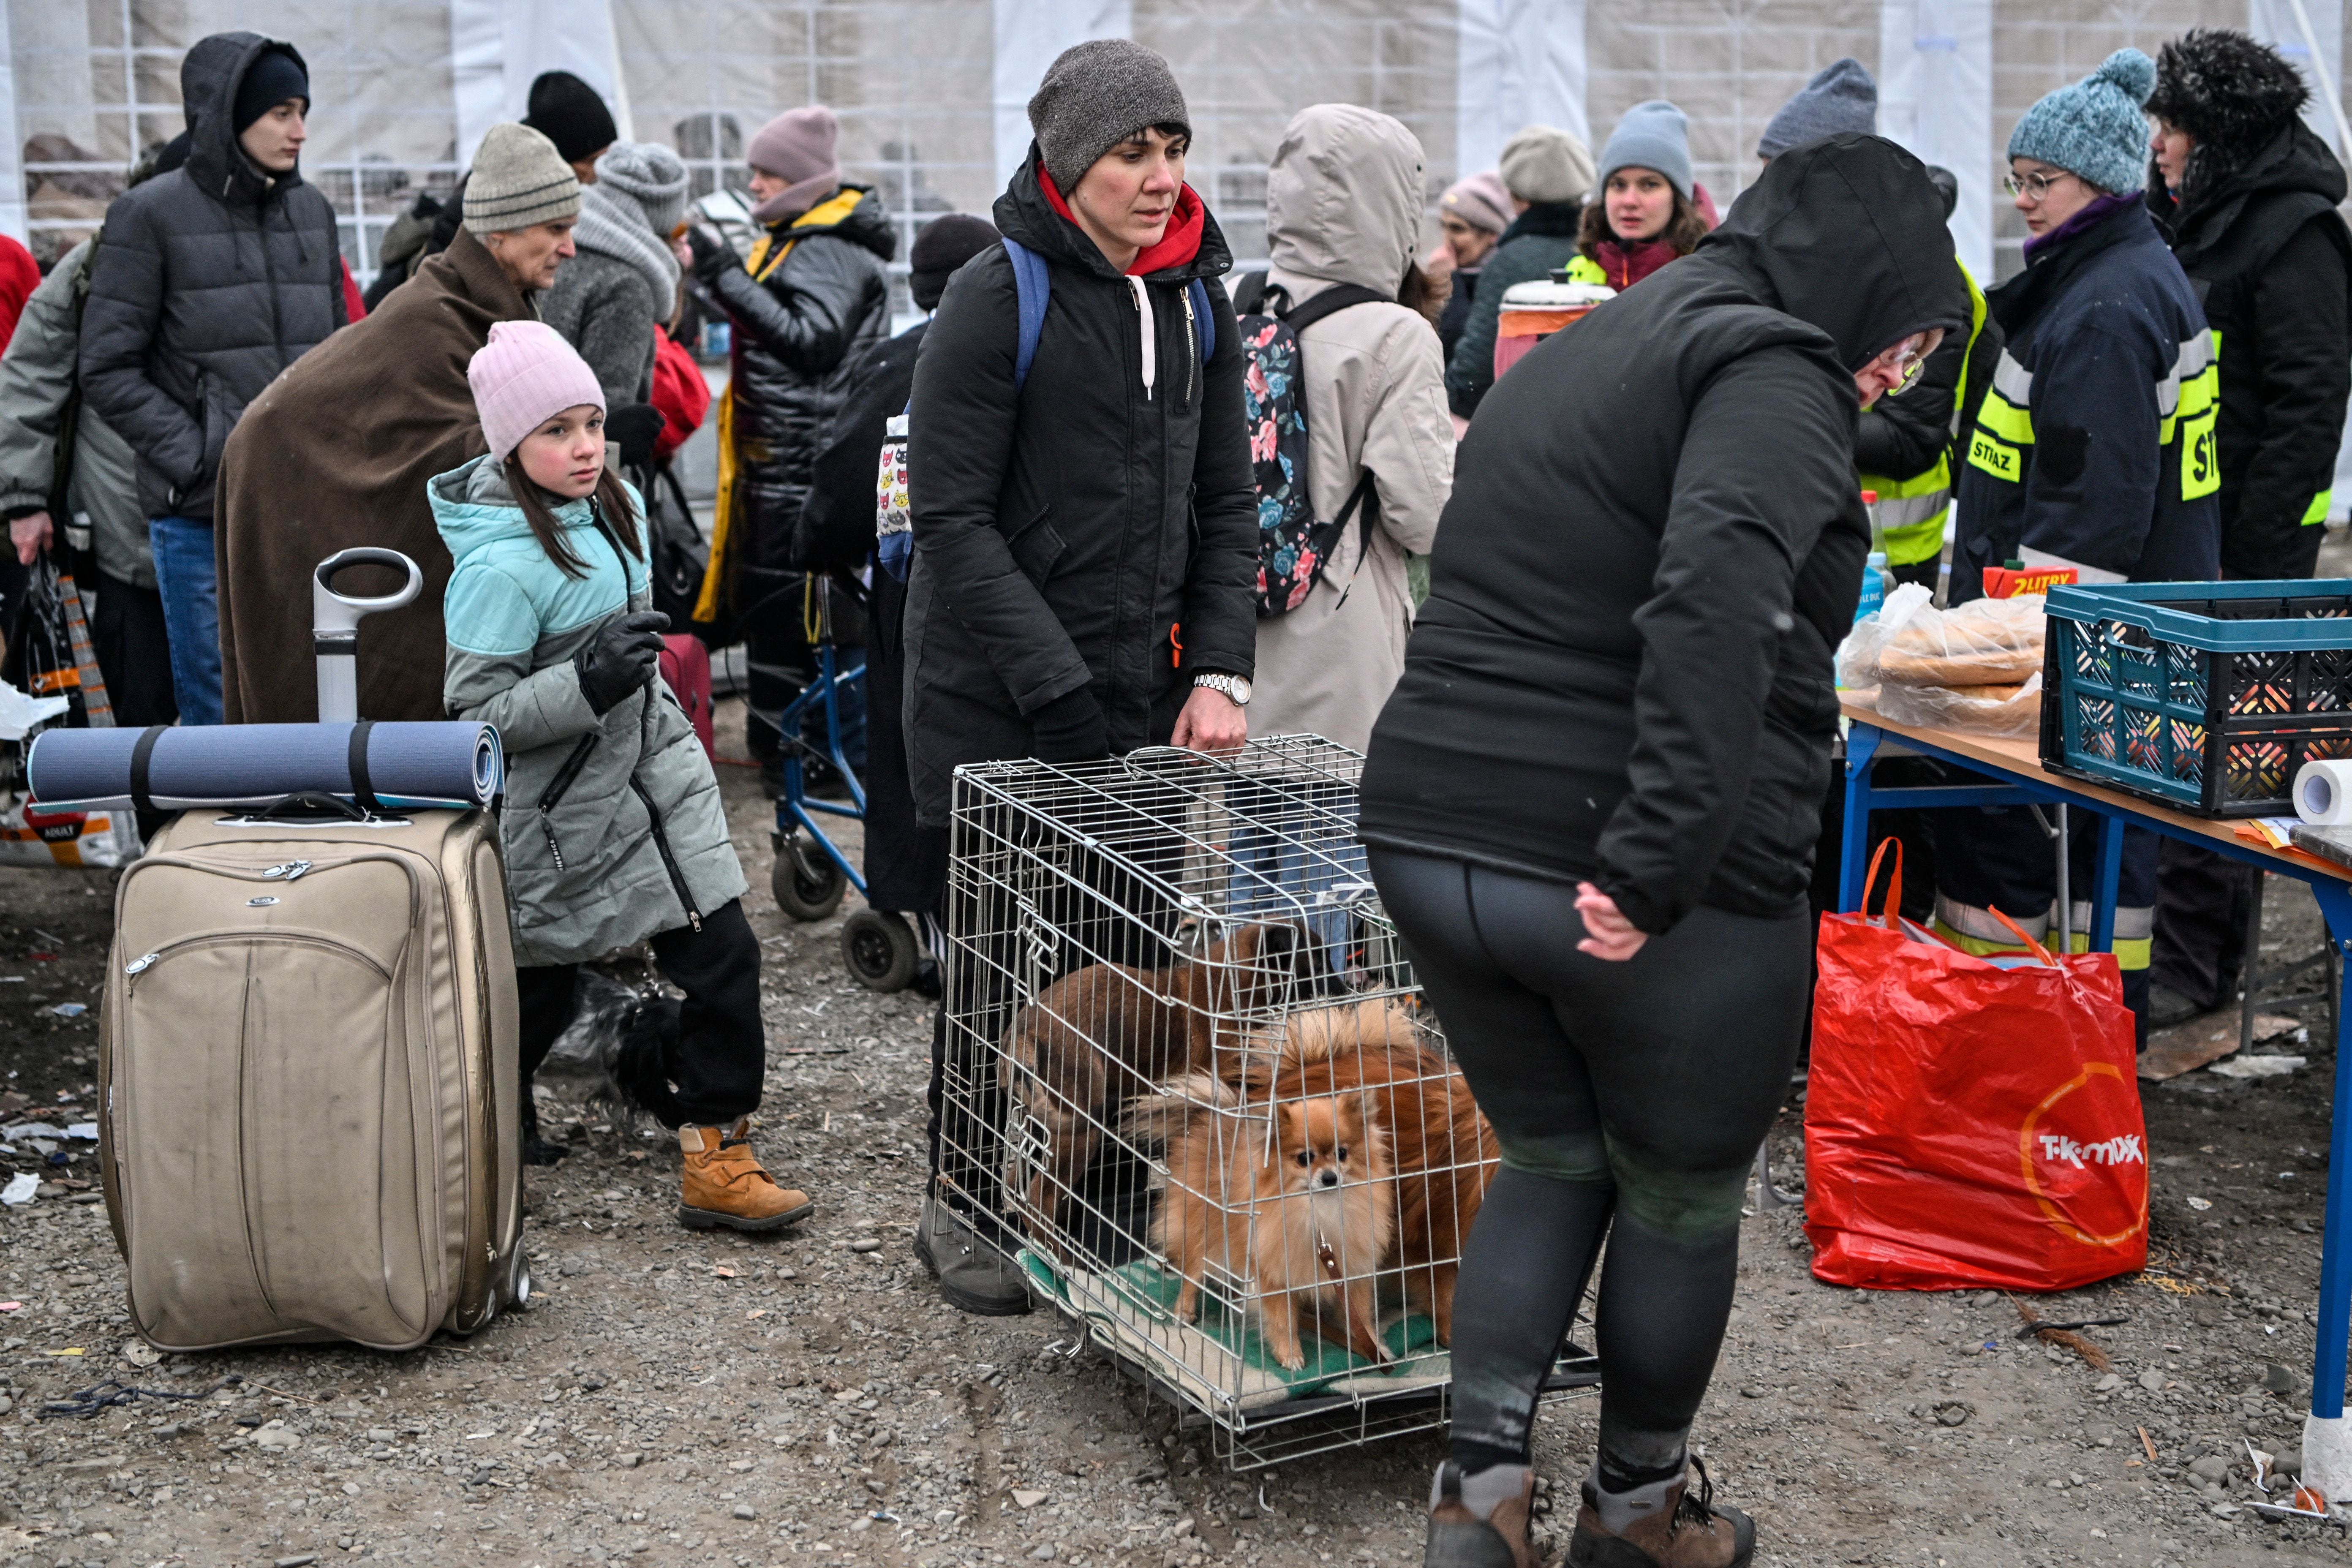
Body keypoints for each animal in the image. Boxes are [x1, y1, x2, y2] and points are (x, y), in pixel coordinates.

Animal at [997, 921, 1317, 1250]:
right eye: (1316, 967)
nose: (1337, 990)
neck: (1226, 991)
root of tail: (1025, 1036)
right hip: (1079, 1132)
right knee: (1039, 1200)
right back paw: (1060, 1255)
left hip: (1038, 1122)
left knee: (1014, 1185)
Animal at [1157, 1086, 1392, 1363]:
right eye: (1304, 1158)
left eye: (1342, 1153)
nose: (1330, 1177)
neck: (1320, 1212)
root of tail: (1212, 1120)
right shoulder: (1274, 1273)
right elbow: (1283, 1321)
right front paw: (1289, 1354)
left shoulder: (1352, 1271)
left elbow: (1360, 1318)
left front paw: (1374, 1348)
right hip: (1205, 1236)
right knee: (1191, 1275)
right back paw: (1184, 1311)